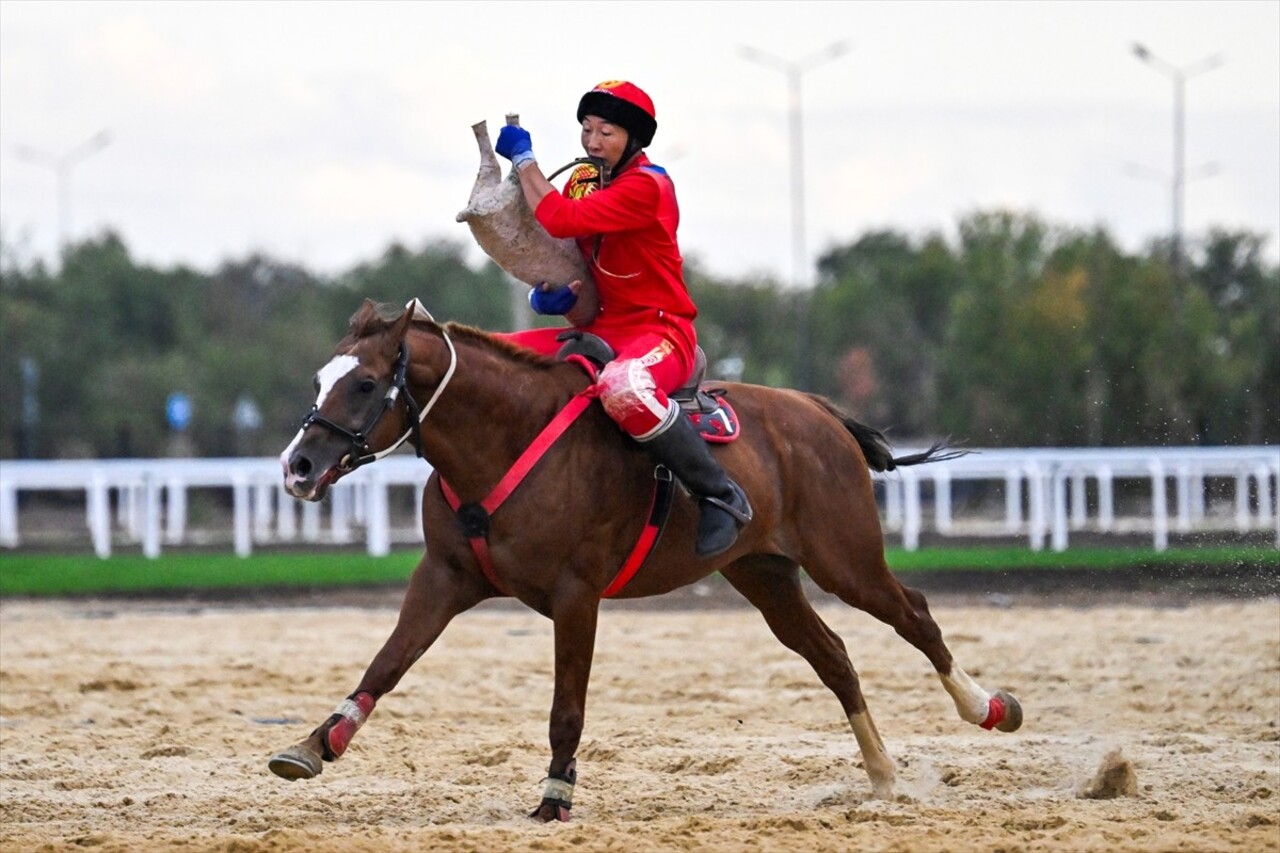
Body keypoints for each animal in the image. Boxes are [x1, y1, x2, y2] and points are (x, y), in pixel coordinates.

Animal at [270, 297, 1018, 819]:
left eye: (366, 384)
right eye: (320, 377)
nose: (297, 465)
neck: (505, 438)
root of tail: (815, 410)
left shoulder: (576, 595)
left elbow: (566, 706)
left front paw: (555, 795)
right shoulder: (444, 578)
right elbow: (387, 663)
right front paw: (317, 742)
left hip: (847, 558)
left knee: (914, 614)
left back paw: (986, 707)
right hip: (765, 574)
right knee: (833, 655)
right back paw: (884, 774)